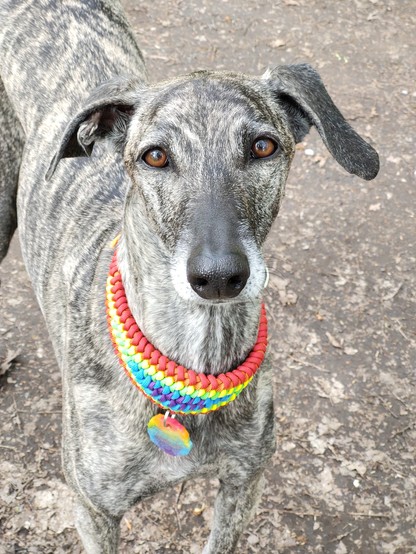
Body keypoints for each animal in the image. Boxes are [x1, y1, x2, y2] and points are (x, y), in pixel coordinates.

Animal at [0, 0, 378, 548]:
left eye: (263, 146)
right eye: (155, 156)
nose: (219, 276)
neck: (195, 353)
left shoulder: (243, 484)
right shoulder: (93, 511)